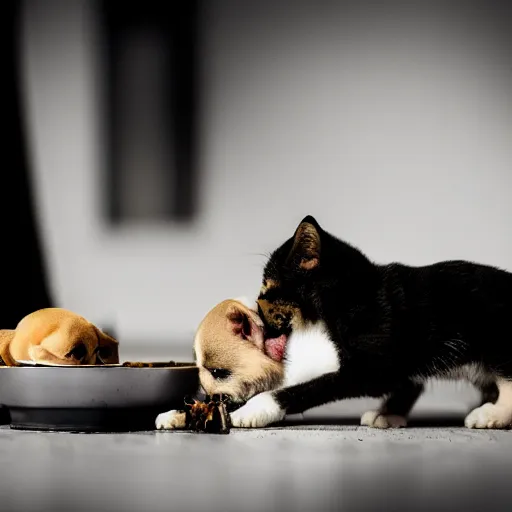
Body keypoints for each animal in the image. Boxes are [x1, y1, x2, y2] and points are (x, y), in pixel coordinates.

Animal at [230, 214, 510, 430]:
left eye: (266, 290)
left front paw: (255, 408)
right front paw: (388, 414)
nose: (255, 308)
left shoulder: (372, 368)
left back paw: (492, 414)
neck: (353, 297)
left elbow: (313, 386)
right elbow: (407, 384)